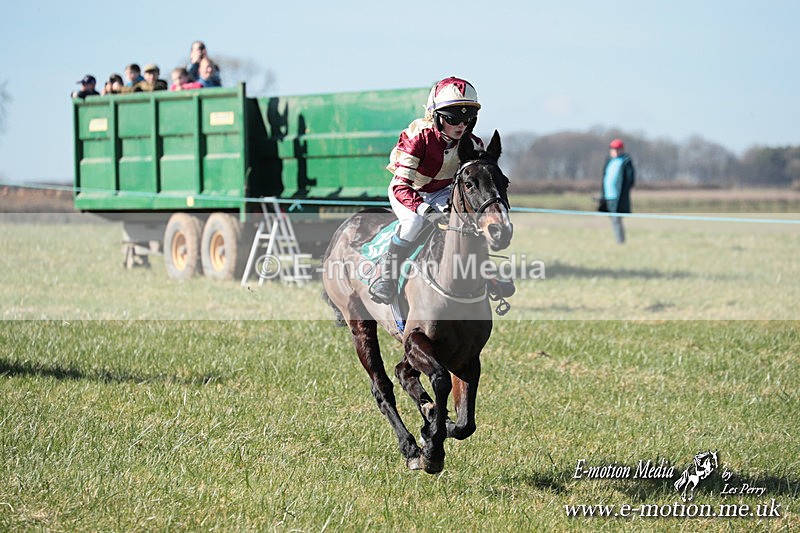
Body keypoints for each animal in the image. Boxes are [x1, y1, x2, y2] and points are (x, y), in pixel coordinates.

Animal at [321, 131, 513, 473]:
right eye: (469, 183)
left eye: (504, 181)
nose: (499, 230)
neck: (455, 281)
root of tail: (344, 227)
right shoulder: (417, 341)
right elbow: (440, 381)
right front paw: (431, 448)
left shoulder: (468, 356)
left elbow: (466, 423)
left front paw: (437, 426)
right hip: (358, 321)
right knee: (383, 385)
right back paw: (410, 446)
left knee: (402, 373)